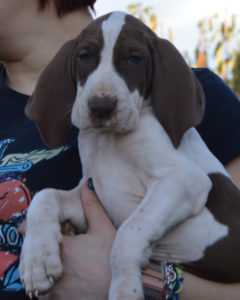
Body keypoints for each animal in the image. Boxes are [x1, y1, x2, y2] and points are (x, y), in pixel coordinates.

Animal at [19, 10, 240, 298]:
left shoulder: (182, 181)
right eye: (84, 56)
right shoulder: (96, 193)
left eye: (134, 59)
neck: (108, 141)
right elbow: (45, 197)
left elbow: (128, 233)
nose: (101, 106)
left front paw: (125, 288)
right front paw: (37, 261)